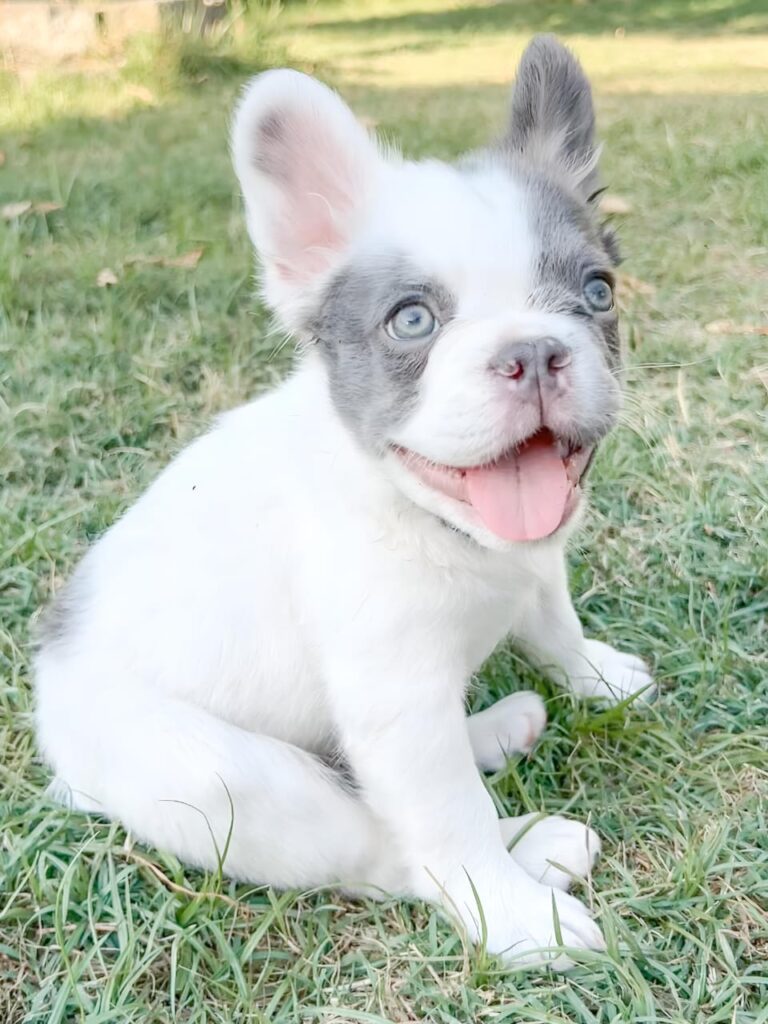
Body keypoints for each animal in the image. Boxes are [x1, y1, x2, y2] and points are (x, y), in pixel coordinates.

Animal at [36, 36, 655, 966]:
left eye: (597, 293)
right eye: (411, 322)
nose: (534, 352)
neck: (429, 518)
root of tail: (50, 712)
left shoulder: (531, 571)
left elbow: (554, 621)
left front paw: (597, 675)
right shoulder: (397, 707)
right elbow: (447, 827)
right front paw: (512, 914)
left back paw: (498, 729)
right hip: (225, 782)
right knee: (384, 847)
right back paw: (534, 850)